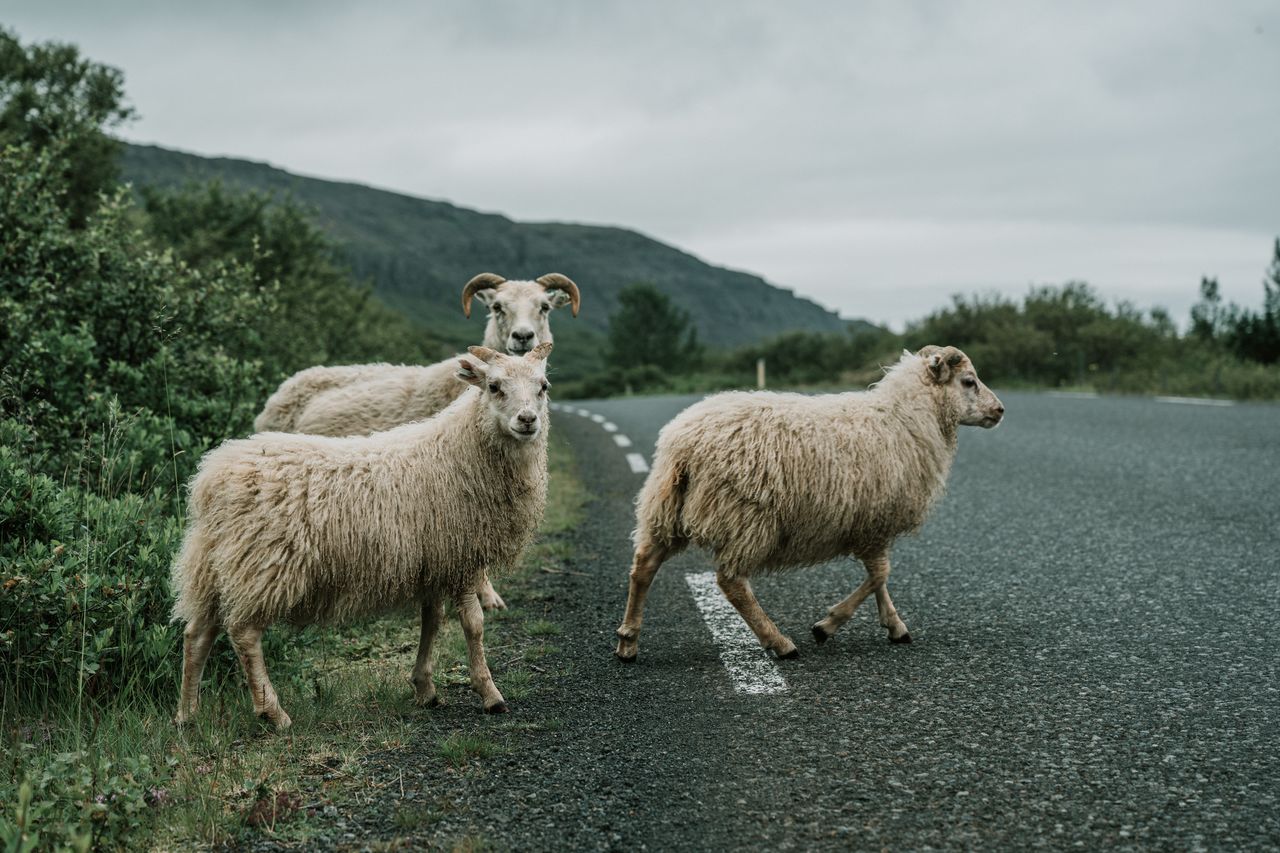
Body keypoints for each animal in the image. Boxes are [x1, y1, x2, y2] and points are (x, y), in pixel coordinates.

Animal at [172, 343, 554, 729]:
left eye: (543, 386)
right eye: (494, 386)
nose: (527, 420)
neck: (460, 450)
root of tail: (210, 478)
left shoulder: (434, 558)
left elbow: (431, 621)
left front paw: (425, 688)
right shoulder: (462, 555)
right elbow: (473, 625)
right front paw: (490, 693)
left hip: (215, 562)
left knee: (197, 634)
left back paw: (186, 715)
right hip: (263, 564)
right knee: (244, 634)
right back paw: (273, 712)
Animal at [614, 345, 1004, 663]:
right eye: (969, 381)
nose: (1000, 410)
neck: (905, 418)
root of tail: (682, 443)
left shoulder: (870, 522)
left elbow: (879, 578)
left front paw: (894, 625)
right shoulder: (874, 520)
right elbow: (880, 575)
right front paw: (827, 625)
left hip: (665, 510)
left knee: (643, 566)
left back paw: (628, 642)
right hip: (746, 517)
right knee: (732, 583)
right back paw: (779, 642)